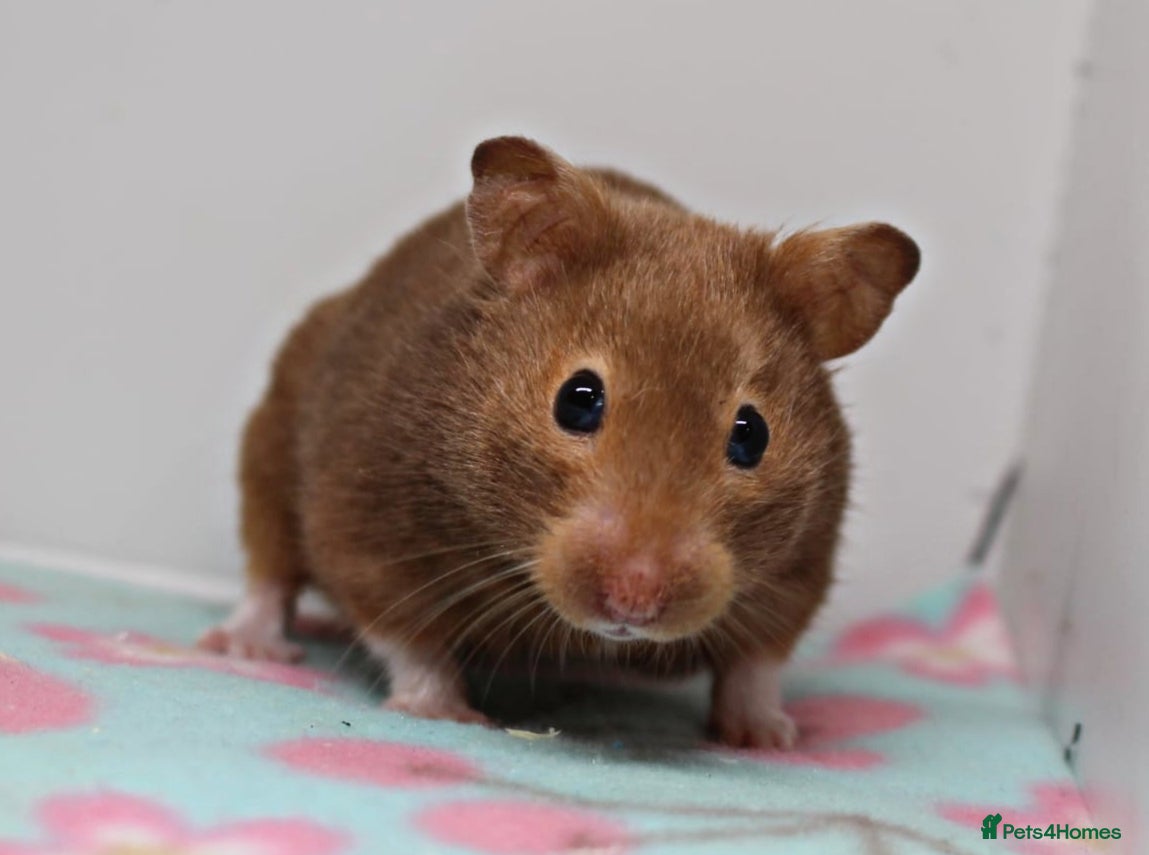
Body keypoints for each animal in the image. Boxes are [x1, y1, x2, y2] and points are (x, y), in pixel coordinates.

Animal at [198, 136, 920, 748]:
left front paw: (767, 738)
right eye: (578, 399)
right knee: (269, 570)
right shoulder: (366, 526)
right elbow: (408, 639)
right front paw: (449, 714)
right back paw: (246, 646)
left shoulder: (803, 564)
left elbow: (756, 664)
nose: (634, 601)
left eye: (752, 435)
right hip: (268, 445)